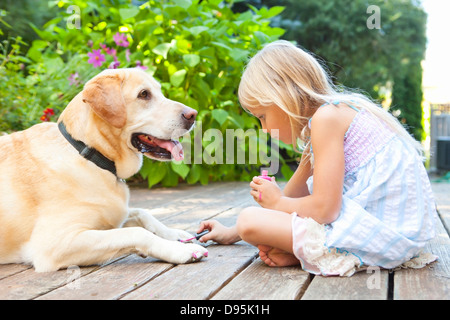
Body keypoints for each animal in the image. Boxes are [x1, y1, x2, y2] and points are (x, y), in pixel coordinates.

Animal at [0, 69, 207, 272]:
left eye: (160, 91)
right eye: (144, 94)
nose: (193, 115)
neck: (89, 154)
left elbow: (143, 214)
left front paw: (175, 234)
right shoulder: (54, 244)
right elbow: (136, 232)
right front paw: (179, 249)